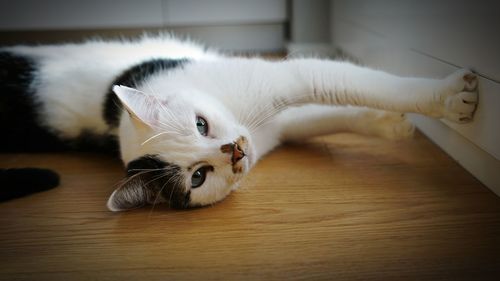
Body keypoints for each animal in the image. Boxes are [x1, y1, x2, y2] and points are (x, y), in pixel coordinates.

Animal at [0, 34, 476, 210]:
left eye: (200, 125)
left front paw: (420, 110)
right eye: (198, 177)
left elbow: (348, 93)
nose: (235, 151)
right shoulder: (276, 117)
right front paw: (417, 113)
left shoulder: (281, 90)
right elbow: (332, 103)